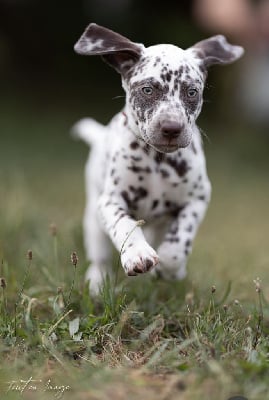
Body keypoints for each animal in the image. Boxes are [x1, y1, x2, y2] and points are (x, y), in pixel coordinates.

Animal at [73, 24, 243, 294]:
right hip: (93, 219)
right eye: (148, 90)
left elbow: (180, 239)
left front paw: (172, 269)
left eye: (192, 92)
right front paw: (137, 254)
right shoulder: (110, 201)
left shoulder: (197, 199)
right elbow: (125, 225)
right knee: (99, 256)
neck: (158, 160)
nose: (171, 128)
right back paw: (98, 282)